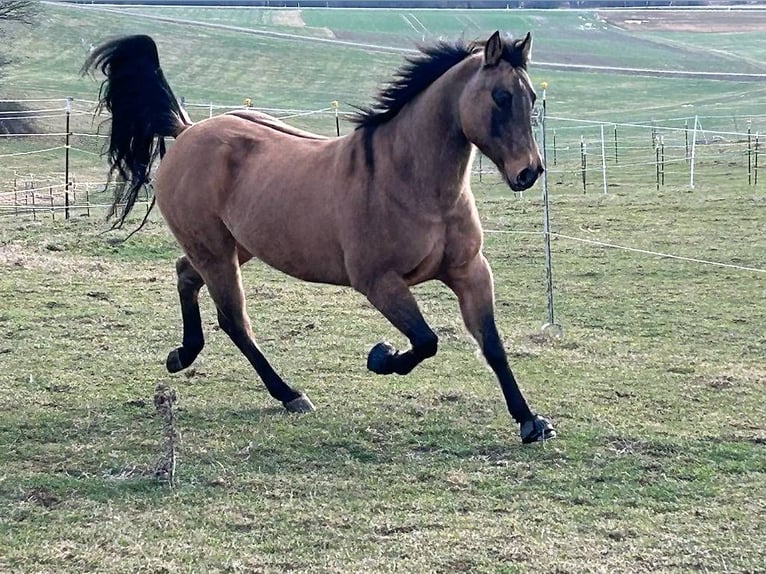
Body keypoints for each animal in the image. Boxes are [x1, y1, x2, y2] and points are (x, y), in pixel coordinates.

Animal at [82, 31, 560, 446]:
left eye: (532, 97)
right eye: (501, 98)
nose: (528, 172)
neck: (410, 182)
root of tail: (187, 132)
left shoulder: (470, 271)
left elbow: (492, 345)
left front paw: (531, 422)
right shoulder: (379, 282)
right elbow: (426, 341)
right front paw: (381, 357)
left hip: (235, 248)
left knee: (185, 275)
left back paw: (182, 355)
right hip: (216, 253)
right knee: (234, 320)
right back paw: (289, 394)